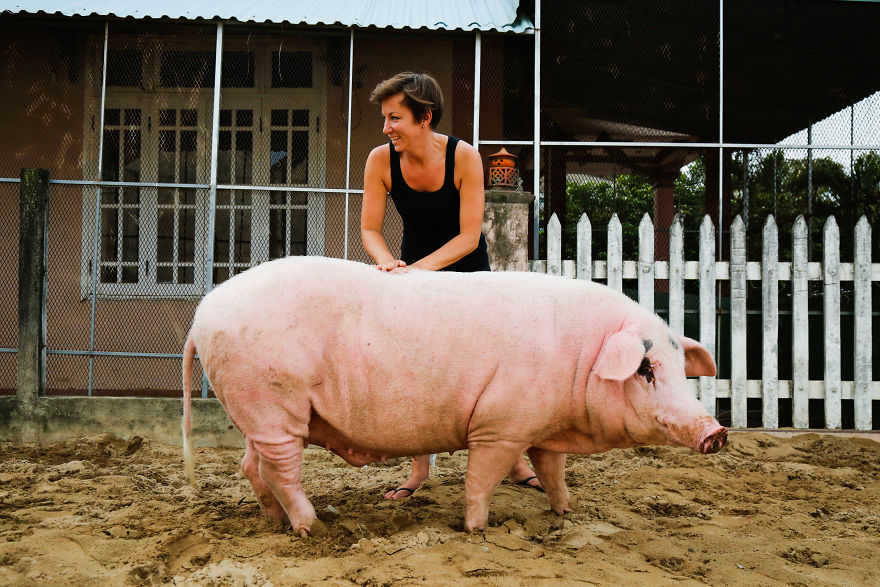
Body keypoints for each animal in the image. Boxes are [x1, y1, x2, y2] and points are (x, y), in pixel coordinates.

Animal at [182, 256, 725, 536]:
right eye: (646, 370)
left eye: (681, 367)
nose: (716, 431)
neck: (580, 361)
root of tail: (203, 312)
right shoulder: (499, 425)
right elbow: (481, 479)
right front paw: (476, 530)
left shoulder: (540, 426)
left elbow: (553, 472)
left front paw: (566, 515)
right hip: (272, 403)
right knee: (281, 469)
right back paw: (313, 527)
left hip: (255, 411)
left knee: (252, 466)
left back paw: (275, 521)